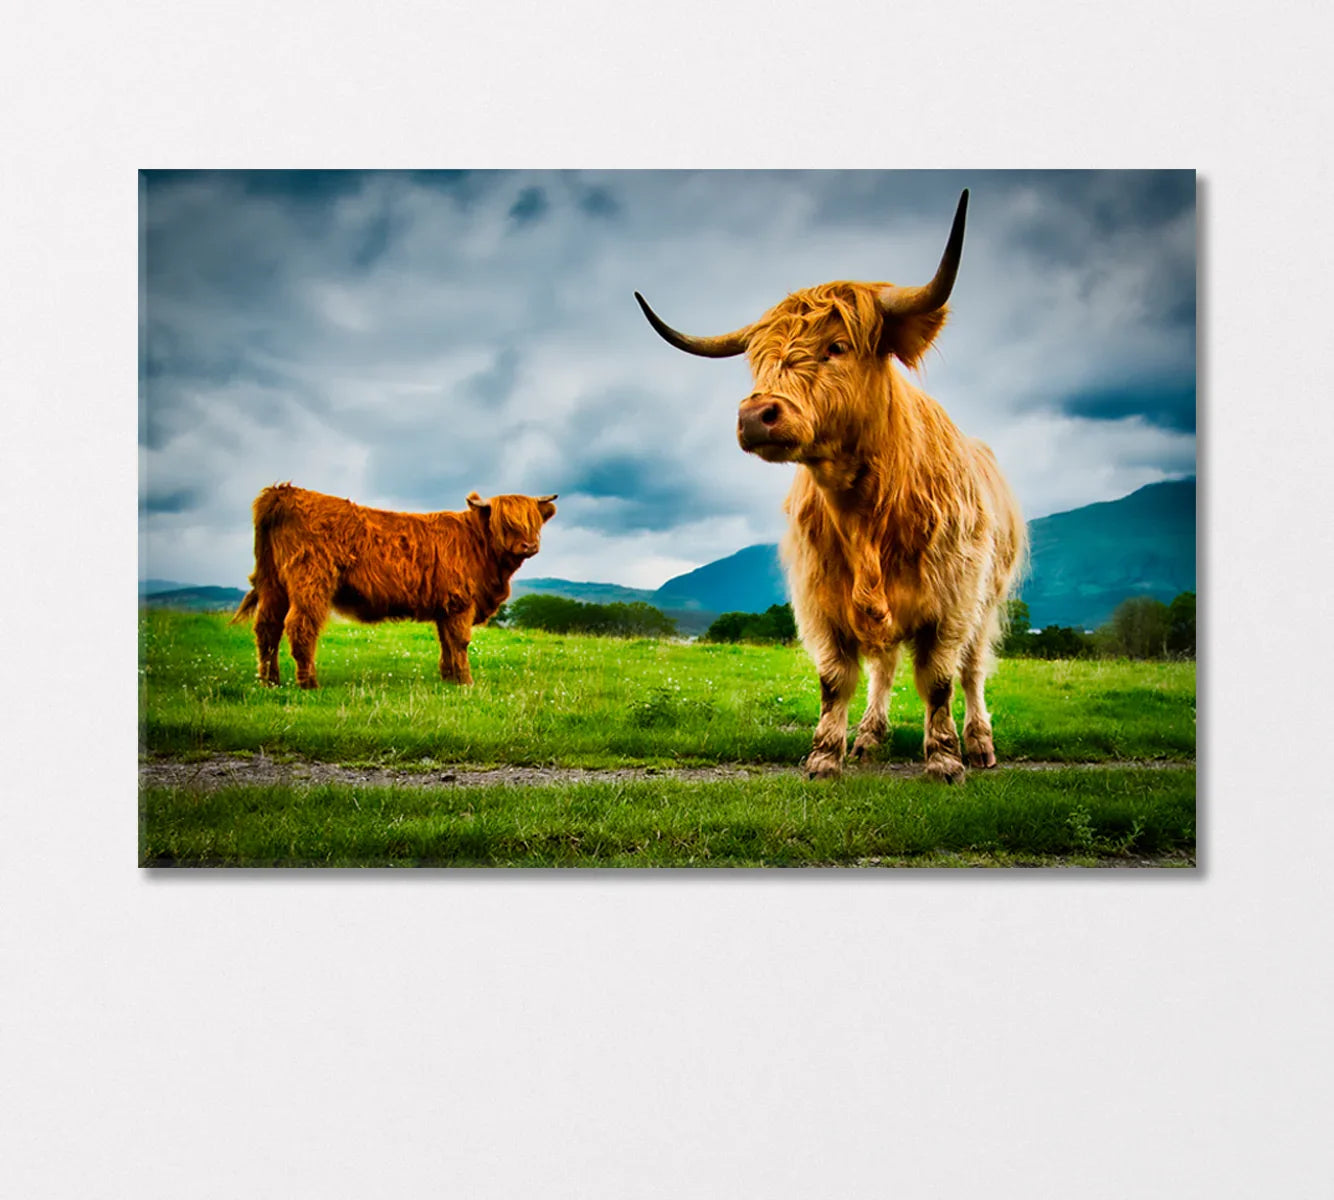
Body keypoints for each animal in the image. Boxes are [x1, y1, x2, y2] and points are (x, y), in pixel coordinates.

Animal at [231, 484, 557, 688]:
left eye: (534, 522)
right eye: (507, 523)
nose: (530, 545)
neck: (477, 543)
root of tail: (283, 492)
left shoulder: (445, 606)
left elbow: (446, 642)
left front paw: (449, 678)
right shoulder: (461, 602)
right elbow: (461, 641)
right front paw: (466, 681)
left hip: (273, 583)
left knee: (267, 627)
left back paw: (270, 681)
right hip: (310, 581)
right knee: (300, 626)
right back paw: (308, 682)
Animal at [635, 190, 1025, 783]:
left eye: (838, 346)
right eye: (758, 359)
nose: (755, 415)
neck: (868, 506)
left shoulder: (952, 598)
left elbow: (938, 679)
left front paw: (943, 759)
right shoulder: (821, 597)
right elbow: (835, 677)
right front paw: (824, 756)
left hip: (986, 602)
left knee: (973, 670)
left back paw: (979, 744)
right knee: (884, 667)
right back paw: (868, 737)